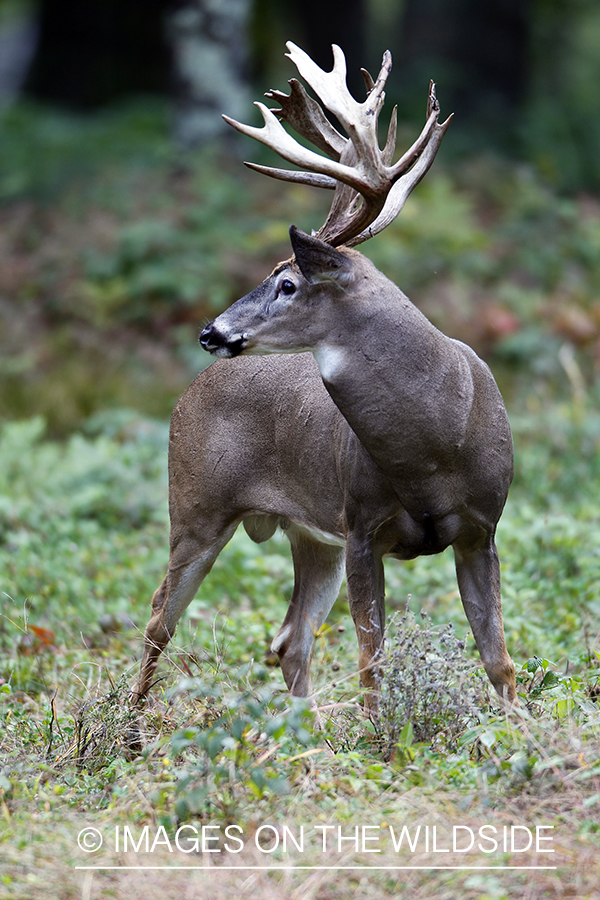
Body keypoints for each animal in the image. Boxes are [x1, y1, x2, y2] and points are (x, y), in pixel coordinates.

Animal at [135, 42, 516, 712]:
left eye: (287, 282)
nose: (211, 331)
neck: (436, 443)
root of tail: (185, 397)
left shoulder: (481, 528)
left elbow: (498, 659)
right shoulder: (361, 525)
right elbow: (372, 665)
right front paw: (382, 736)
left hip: (310, 536)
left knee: (289, 637)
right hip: (198, 504)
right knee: (159, 620)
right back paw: (122, 727)